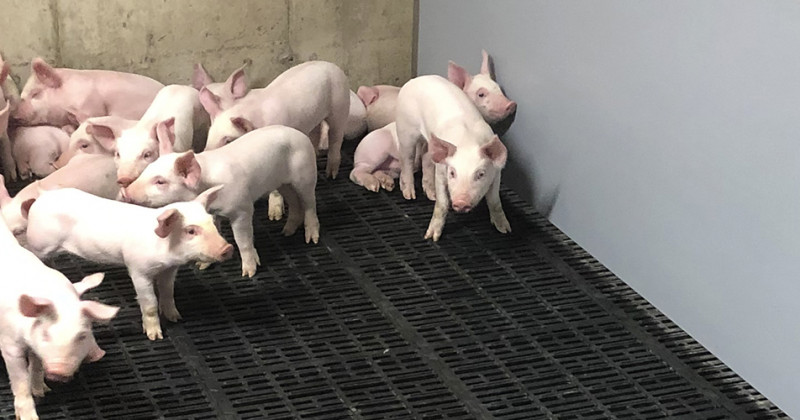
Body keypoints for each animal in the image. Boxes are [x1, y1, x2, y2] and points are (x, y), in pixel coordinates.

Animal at [0, 214, 118, 420]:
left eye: (82, 335)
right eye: (46, 334)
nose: (59, 371)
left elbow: (36, 365)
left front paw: (42, 391)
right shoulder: (8, 344)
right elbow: (19, 382)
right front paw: (29, 416)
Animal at [24, 187, 232, 340]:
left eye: (211, 222)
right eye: (190, 231)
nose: (228, 248)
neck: (165, 252)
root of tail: (42, 197)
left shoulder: (170, 269)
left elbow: (167, 293)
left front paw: (176, 318)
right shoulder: (138, 270)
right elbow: (149, 303)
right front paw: (155, 337)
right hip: (39, 244)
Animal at [121, 125, 320, 278]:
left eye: (160, 181)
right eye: (147, 169)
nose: (126, 192)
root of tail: (300, 135)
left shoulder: (242, 208)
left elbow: (242, 240)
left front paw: (248, 273)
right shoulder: (211, 212)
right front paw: (201, 266)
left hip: (305, 174)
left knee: (310, 203)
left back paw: (311, 239)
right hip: (283, 183)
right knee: (294, 202)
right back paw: (286, 232)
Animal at [200, 60, 349, 179]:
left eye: (228, 140)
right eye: (209, 135)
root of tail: (334, 65)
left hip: (340, 105)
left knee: (336, 136)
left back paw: (331, 175)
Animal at [395, 75, 511, 241]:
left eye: (481, 174)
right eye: (452, 173)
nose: (461, 202)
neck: (468, 143)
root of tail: (417, 79)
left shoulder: (496, 174)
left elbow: (495, 201)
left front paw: (505, 230)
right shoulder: (441, 172)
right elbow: (442, 204)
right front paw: (431, 237)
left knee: (425, 156)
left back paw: (431, 195)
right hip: (405, 128)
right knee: (407, 159)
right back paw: (409, 195)